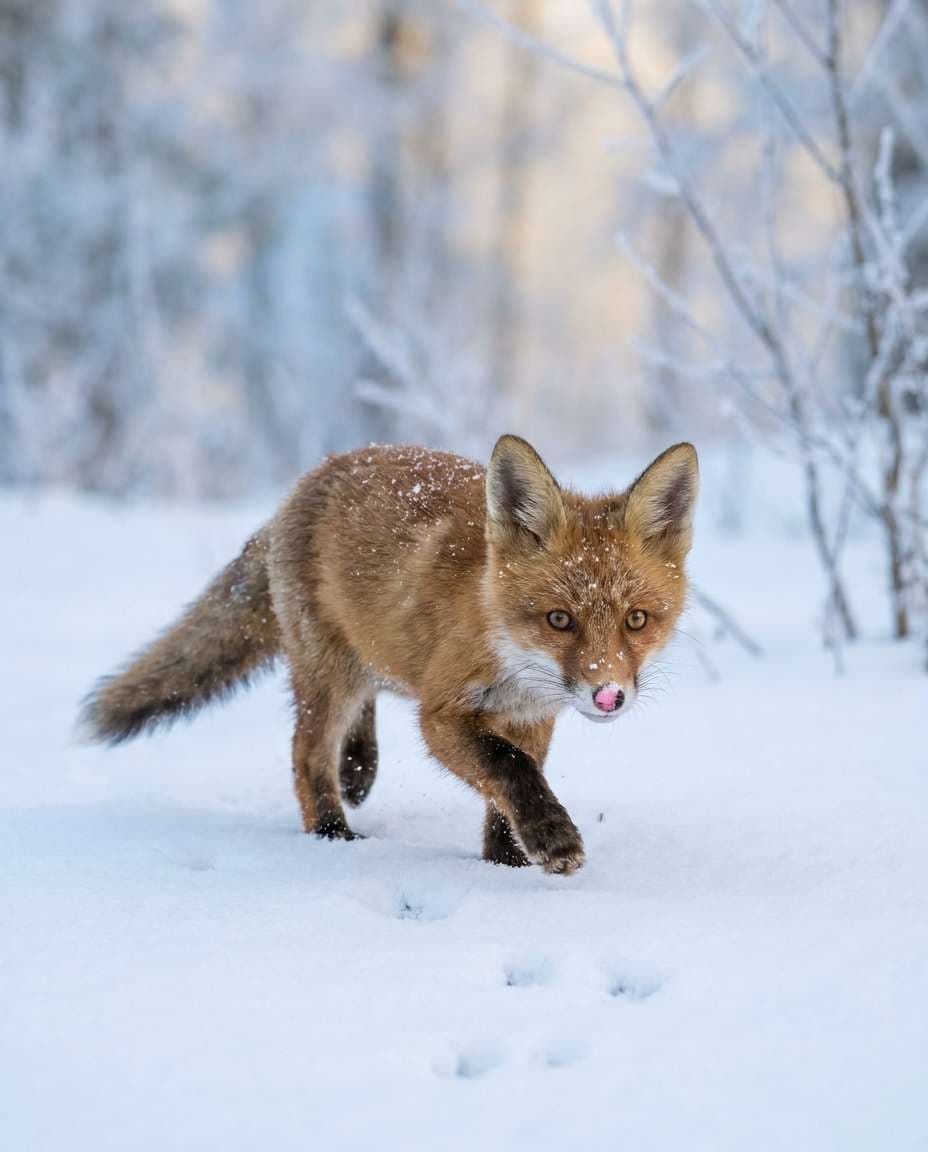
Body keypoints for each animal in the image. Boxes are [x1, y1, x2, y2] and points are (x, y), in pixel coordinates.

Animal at [82, 435, 698, 875]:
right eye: (559, 620)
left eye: (636, 619)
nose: (609, 695)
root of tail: (308, 479)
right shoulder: (442, 714)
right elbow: (508, 769)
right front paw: (551, 837)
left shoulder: (531, 716)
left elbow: (506, 790)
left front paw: (506, 862)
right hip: (328, 673)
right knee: (307, 753)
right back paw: (333, 834)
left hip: (367, 656)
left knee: (366, 697)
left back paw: (358, 766)